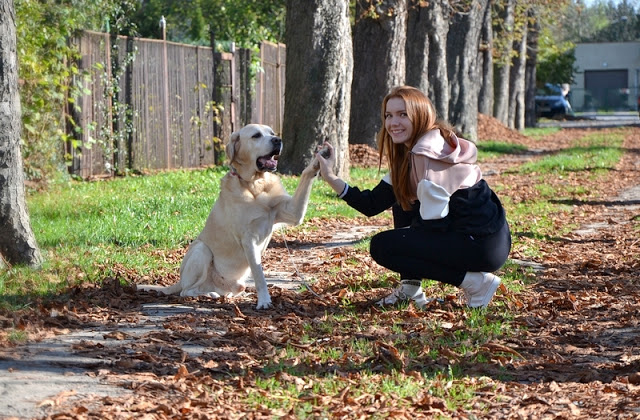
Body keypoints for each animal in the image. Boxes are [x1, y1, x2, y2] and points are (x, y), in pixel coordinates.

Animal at [138, 124, 322, 308]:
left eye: (271, 133)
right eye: (256, 135)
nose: (278, 140)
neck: (254, 184)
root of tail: (179, 281)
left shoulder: (293, 212)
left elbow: (305, 177)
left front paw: (318, 160)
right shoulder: (248, 239)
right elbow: (259, 274)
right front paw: (264, 300)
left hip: (235, 283)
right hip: (201, 250)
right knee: (186, 291)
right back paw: (209, 294)